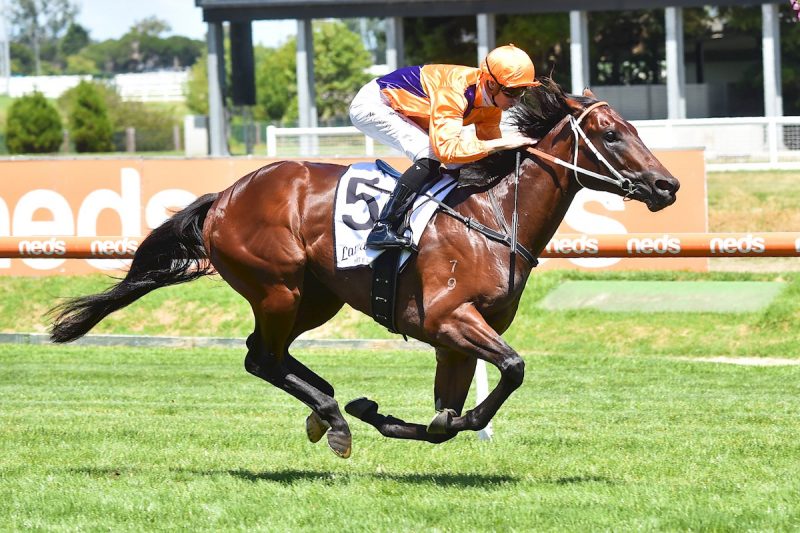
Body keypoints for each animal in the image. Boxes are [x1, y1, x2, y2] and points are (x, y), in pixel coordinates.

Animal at [49, 78, 679, 459]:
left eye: (633, 128)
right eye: (610, 133)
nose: (666, 185)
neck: (495, 214)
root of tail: (225, 195)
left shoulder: (454, 338)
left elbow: (449, 416)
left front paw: (393, 415)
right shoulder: (448, 319)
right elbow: (512, 370)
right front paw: (372, 412)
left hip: (315, 297)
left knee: (266, 354)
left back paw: (326, 406)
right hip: (277, 287)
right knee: (261, 357)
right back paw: (333, 416)